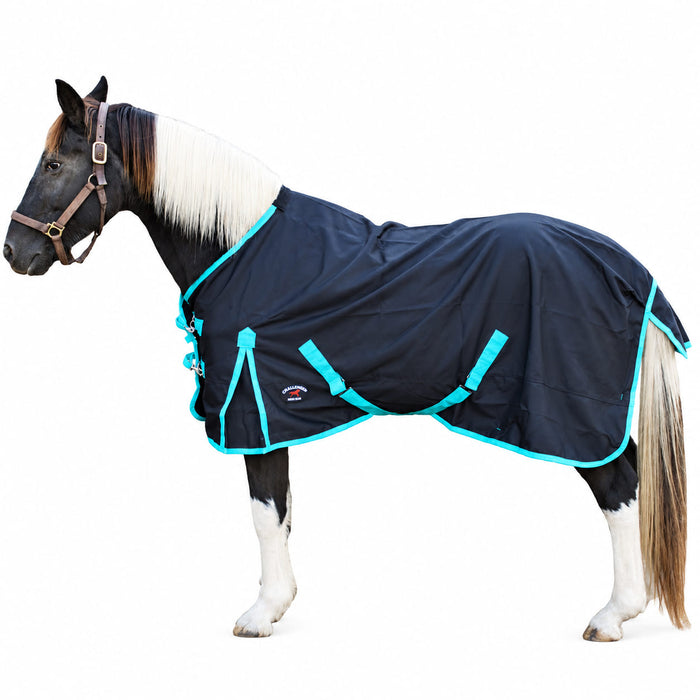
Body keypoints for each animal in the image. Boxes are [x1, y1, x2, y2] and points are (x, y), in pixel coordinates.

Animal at [4, 77, 690, 641]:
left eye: (54, 162)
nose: (14, 252)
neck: (242, 250)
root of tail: (620, 264)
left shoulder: (255, 407)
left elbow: (263, 511)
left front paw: (261, 614)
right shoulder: (272, 412)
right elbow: (281, 512)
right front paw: (278, 603)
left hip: (568, 414)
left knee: (619, 486)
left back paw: (614, 615)